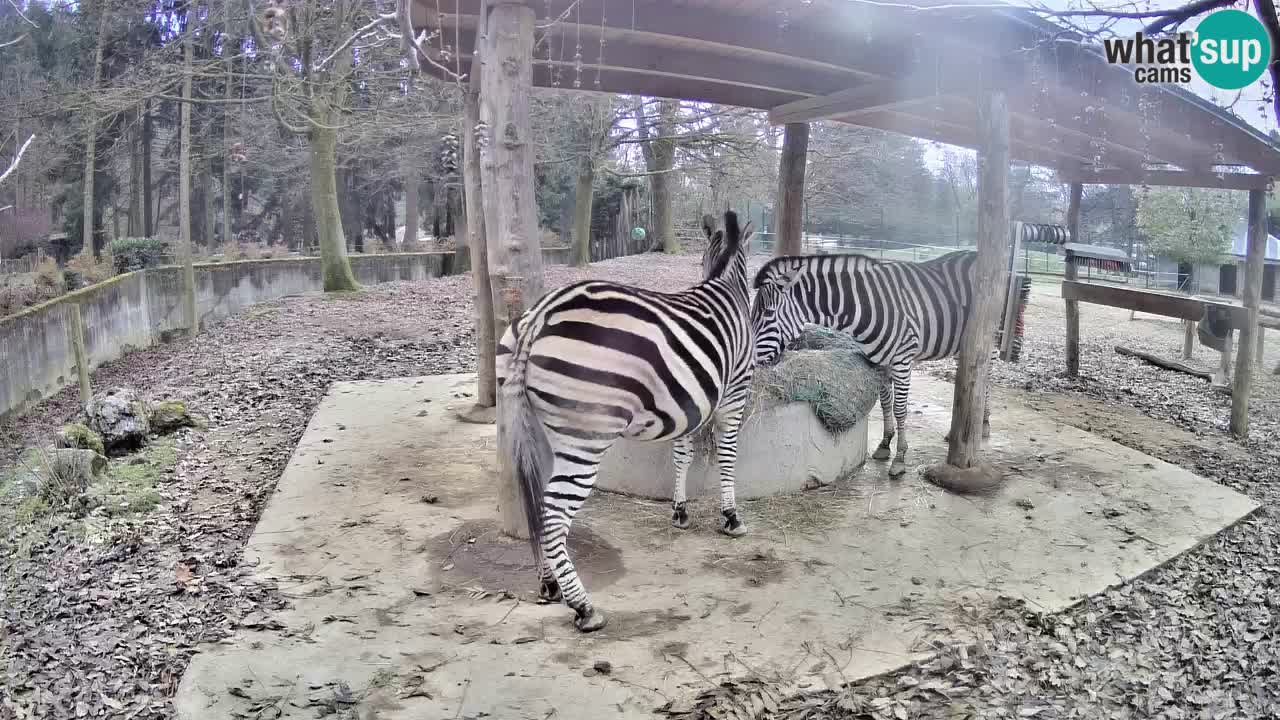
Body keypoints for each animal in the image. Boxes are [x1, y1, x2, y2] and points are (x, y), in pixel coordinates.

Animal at [496, 210, 757, 630]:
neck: (725, 282)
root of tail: (539, 317)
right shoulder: (734, 393)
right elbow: (728, 457)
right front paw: (731, 517)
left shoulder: (689, 405)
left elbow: (682, 455)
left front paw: (680, 511)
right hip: (585, 437)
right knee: (553, 512)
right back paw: (583, 607)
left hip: (535, 427)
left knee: (535, 504)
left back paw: (549, 585)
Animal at [747, 248, 993, 476]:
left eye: (768, 314)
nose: (751, 363)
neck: (863, 306)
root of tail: (975, 254)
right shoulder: (879, 361)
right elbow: (885, 403)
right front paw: (885, 444)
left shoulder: (902, 359)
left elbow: (900, 408)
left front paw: (900, 457)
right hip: (964, 343)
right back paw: (957, 431)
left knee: (986, 376)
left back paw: (984, 424)